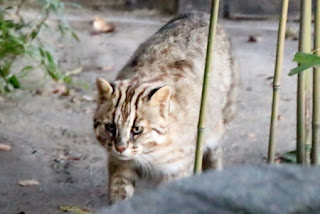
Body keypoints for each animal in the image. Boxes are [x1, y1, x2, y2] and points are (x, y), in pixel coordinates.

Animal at [93, 11, 238, 204]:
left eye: (137, 129)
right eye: (110, 127)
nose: (121, 148)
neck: (151, 153)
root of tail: (200, 13)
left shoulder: (177, 169)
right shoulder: (120, 165)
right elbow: (120, 194)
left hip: (222, 118)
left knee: (215, 151)